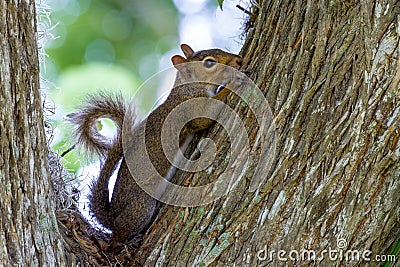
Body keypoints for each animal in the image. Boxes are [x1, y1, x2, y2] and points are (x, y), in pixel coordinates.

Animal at [67, 44, 242, 251]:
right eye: (209, 63)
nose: (239, 60)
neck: (189, 87)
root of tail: (112, 218)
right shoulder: (191, 110)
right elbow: (207, 116)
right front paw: (233, 82)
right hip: (141, 208)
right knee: (117, 238)